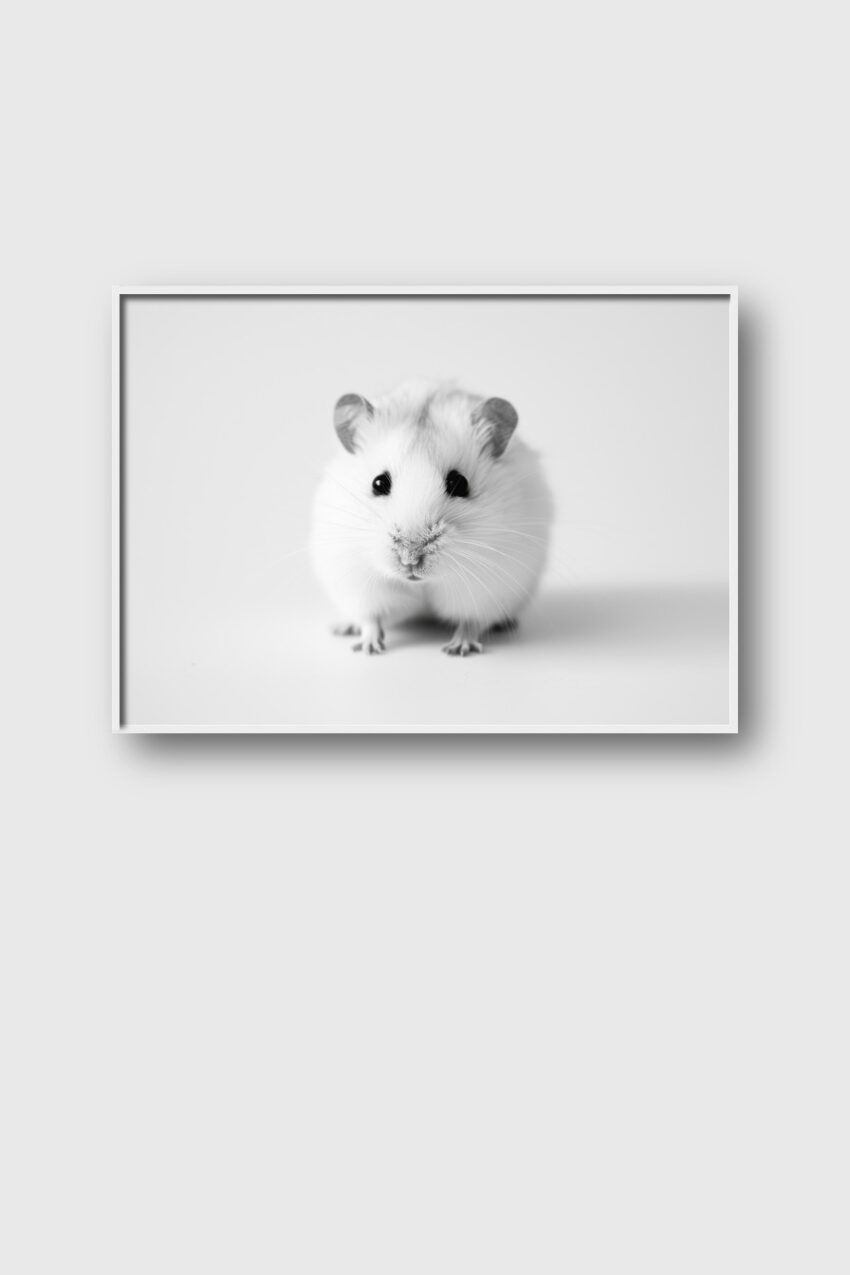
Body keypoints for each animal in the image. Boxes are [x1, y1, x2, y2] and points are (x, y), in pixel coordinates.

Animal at [311, 381, 553, 655]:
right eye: (378, 483)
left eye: (460, 483)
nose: (410, 559)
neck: (421, 583)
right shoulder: (357, 581)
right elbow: (370, 618)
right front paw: (368, 648)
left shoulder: (489, 588)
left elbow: (471, 621)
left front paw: (458, 649)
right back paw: (343, 628)